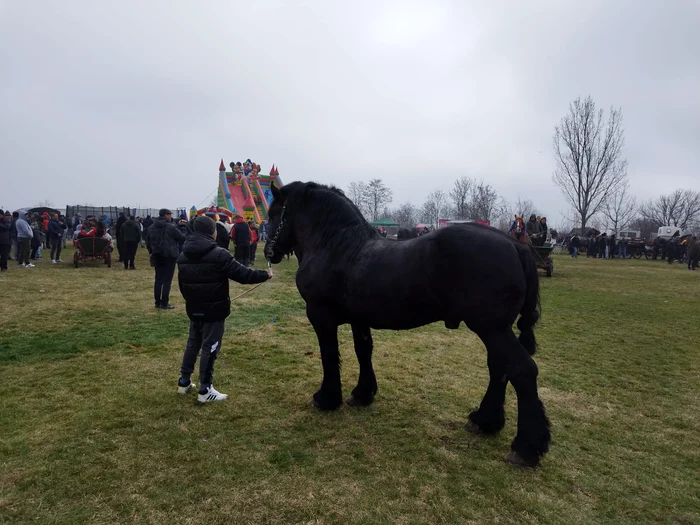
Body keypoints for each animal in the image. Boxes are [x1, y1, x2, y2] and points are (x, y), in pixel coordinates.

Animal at [266, 181, 548, 466]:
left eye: (273, 214)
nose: (269, 251)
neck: (337, 247)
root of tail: (515, 246)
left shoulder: (320, 316)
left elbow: (328, 354)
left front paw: (326, 398)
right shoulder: (359, 319)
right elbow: (363, 351)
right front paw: (362, 394)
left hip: (492, 329)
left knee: (522, 370)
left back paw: (525, 447)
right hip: (494, 330)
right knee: (499, 367)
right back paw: (484, 421)